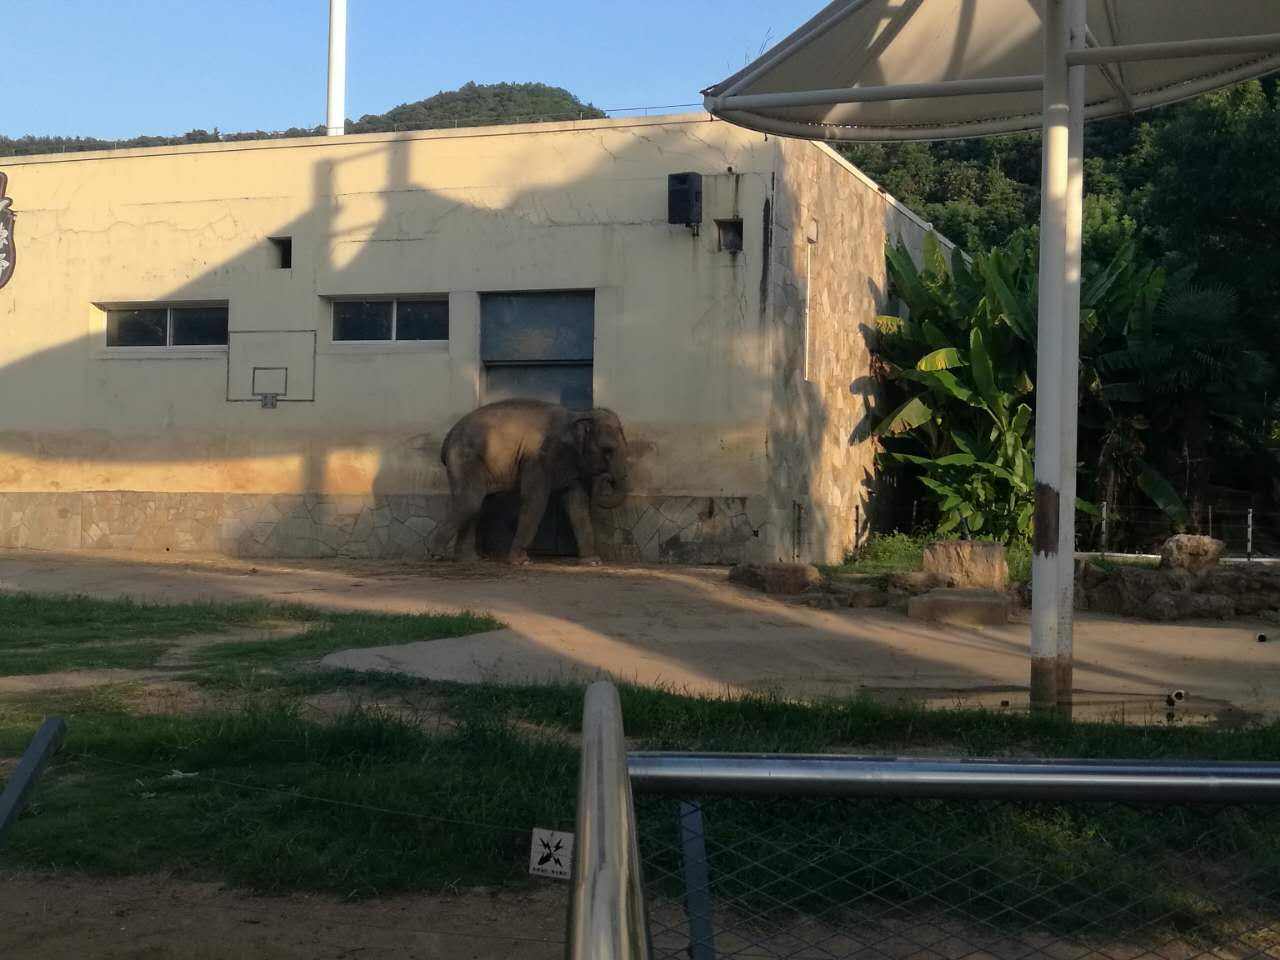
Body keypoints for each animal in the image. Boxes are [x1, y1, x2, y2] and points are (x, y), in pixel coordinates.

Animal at [430, 399, 629, 568]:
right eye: (608, 450)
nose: (607, 478)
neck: (578, 414)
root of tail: (447, 439)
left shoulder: (570, 465)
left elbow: (577, 505)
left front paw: (593, 562)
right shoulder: (537, 458)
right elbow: (535, 500)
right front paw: (522, 561)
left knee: (479, 504)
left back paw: (468, 559)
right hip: (464, 459)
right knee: (470, 501)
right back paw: (438, 555)